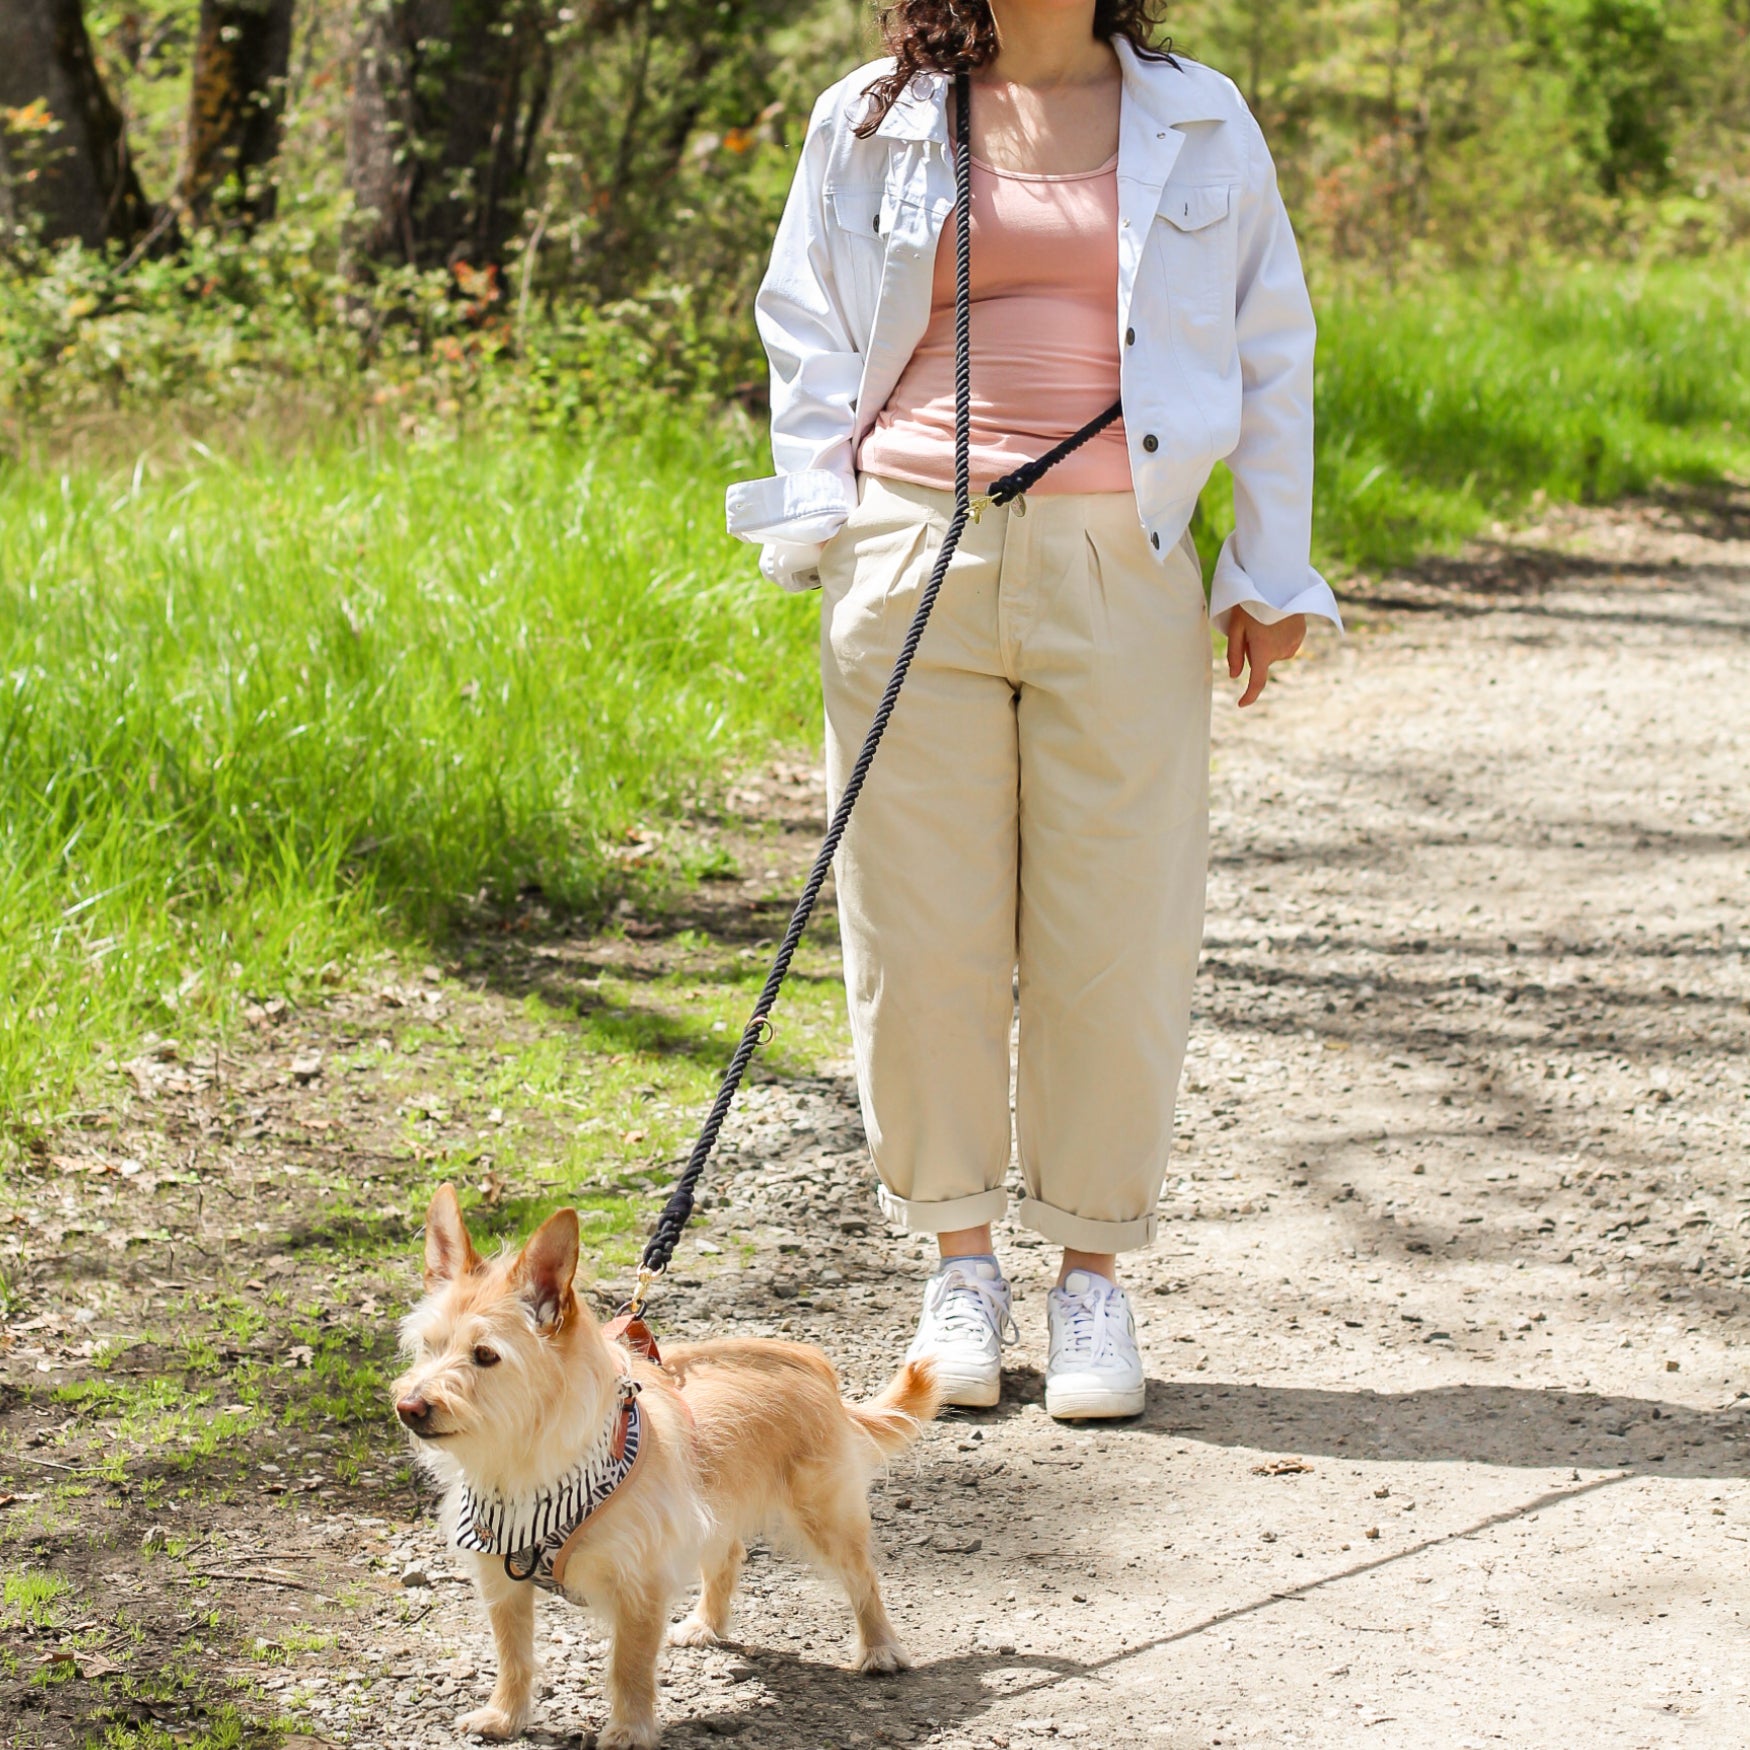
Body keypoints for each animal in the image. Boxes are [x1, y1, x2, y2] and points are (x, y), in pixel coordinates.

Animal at [397, 1183, 945, 1743]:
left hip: (826, 1516)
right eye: (428, 1347)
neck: (525, 1462)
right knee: (727, 1556)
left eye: (486, 1356)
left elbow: (630, 1664)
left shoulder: (640, 1581)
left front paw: (629, 1731)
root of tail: (811, 1363)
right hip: (717, 1504)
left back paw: (880, 1648)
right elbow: (513, 1653)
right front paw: (505, 1715)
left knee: (862, 1577)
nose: (409, 1407)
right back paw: (706, 1625)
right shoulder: (502, 1582)